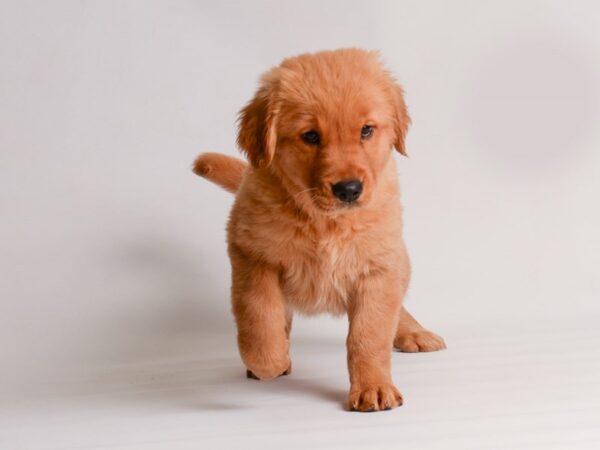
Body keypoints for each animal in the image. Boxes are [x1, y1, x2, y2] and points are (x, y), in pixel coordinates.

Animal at [193, 48, 446, 412]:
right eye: (310, 136)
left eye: (366, 130)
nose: (349, 189)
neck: (325, 221)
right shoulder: (253, 255)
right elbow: (259, 317)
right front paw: (269, 362)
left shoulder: (378, 265)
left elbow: (369, 334)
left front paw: (374, 387)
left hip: (401, 258)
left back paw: (413, 332)